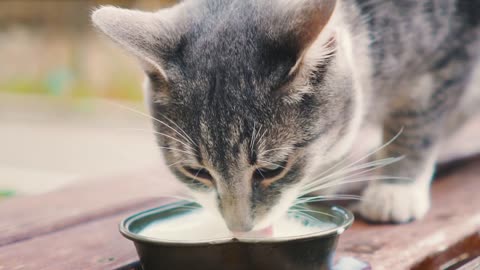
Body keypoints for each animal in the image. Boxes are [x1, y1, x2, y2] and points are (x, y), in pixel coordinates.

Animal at [91, 0, 480, 232]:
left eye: (271, 170)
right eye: (196, 172)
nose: (240, 229)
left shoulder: (447, 56)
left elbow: (417, 121)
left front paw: (395, 188)